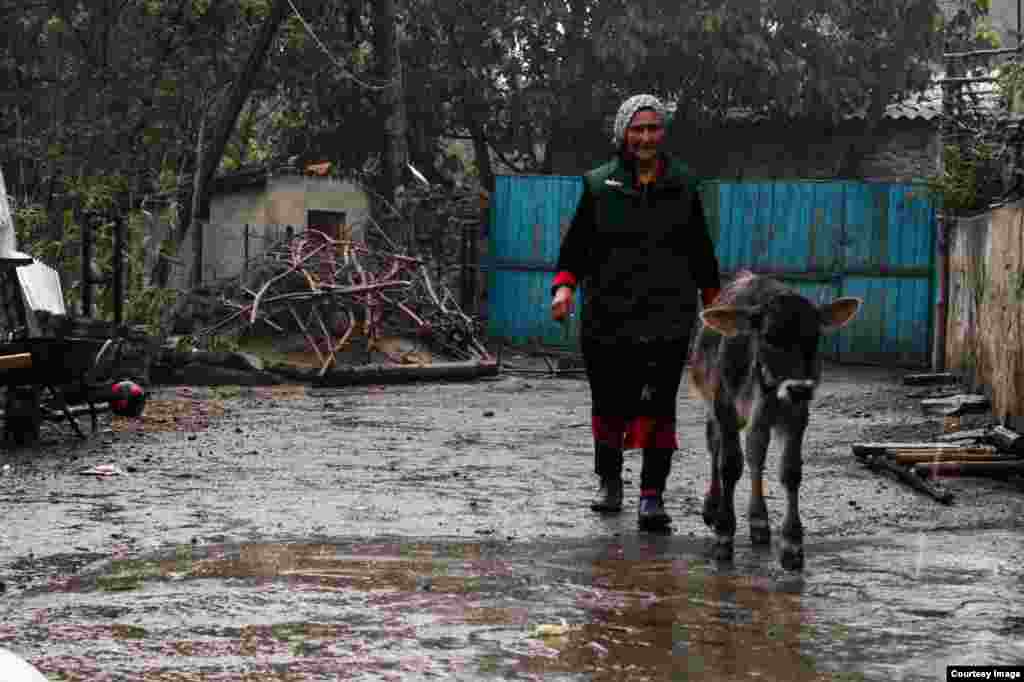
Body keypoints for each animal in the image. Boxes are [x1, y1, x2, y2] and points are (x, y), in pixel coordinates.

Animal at [688, 270, 864, 569]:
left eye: (814, 337)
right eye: (769, 337)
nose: (799, 388)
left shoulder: (796, 415)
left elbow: (790, 472)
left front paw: (792, 544)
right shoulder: (725, 407)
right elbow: (729, 466)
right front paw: (724, 534)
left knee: (755, 456)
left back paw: (759, 520)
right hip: (712, 400)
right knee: (715, 446)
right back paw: (712, 506)